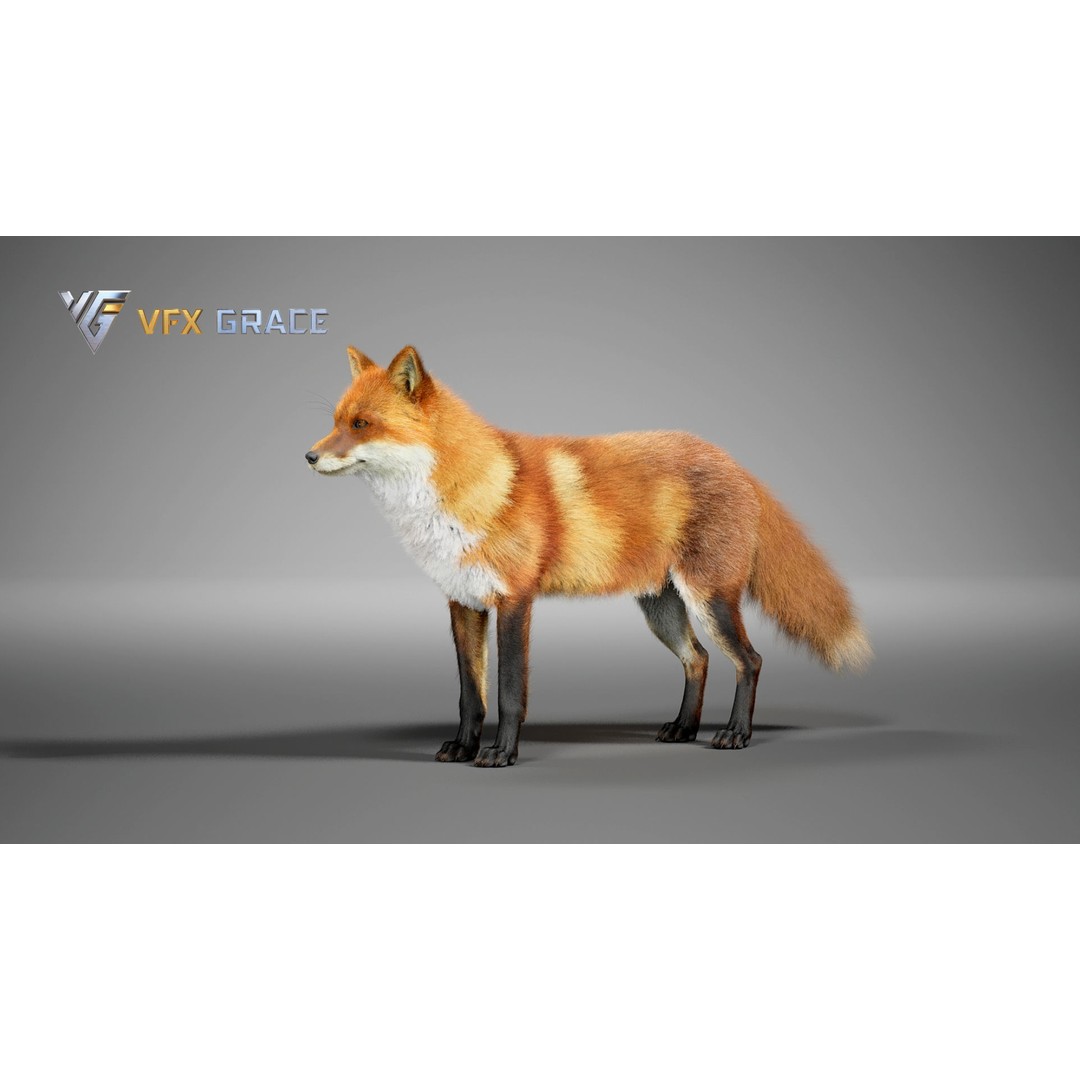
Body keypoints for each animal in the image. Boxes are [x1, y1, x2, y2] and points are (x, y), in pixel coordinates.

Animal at [306, 344, 871, 767]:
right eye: (336, 421)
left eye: (362, 424)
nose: (308, 456)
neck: (468, 493)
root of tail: (733, 462)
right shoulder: (462, 603)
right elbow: (471, 695)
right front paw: (464, 747)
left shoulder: (514, 601)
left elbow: (508, 692)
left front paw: (501, 754)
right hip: (662, 609)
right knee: (699, 659)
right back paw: (683, 729)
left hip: (710, 599)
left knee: (749, 661)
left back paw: (735, 734)